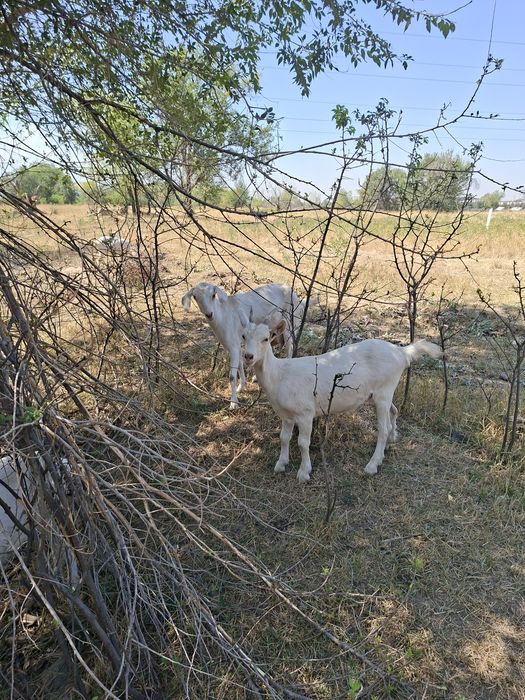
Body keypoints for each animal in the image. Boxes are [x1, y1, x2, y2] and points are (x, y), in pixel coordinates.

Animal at [243, 320, 442, 481]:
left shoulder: (305, 412)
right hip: (380, 392)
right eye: (244, 336)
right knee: (394, 410)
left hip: (384, 390)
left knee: (382, 429)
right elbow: (284, 438)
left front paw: (304, 472)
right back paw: (391, 440)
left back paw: (372, 465)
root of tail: (402, 352)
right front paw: (280, 464)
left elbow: (302, 443)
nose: (248, 356)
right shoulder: (286, 414)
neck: (279, 375)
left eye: (266, 339)